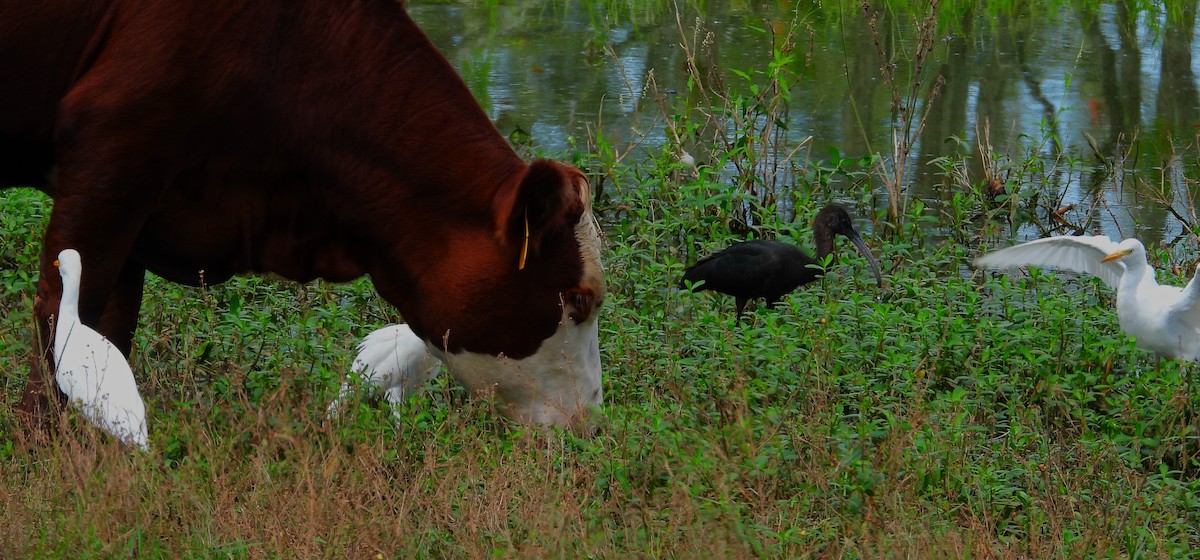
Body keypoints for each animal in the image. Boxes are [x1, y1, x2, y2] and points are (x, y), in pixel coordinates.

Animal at [2, 0, 609, 431]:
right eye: (579, 300)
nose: (589, 423)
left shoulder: (137, 205)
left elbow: (113, 328)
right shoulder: (112, 154)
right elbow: (60, 315)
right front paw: (46, 452)